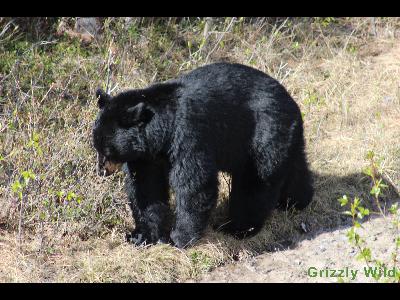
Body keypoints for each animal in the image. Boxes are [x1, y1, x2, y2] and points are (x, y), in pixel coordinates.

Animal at [92, 62, 314, 248]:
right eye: (98, 148)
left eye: (108, 151)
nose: (102, 171)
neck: (161, 134)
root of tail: (291, 101)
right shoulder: (145, 157)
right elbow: (146, 188)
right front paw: (141, 235)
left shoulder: (188, 135)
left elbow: (194, 184)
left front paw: (179, 238)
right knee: (294, 167)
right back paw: (297, 201)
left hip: (264, 134)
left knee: (257, 181)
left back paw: (238, 228)